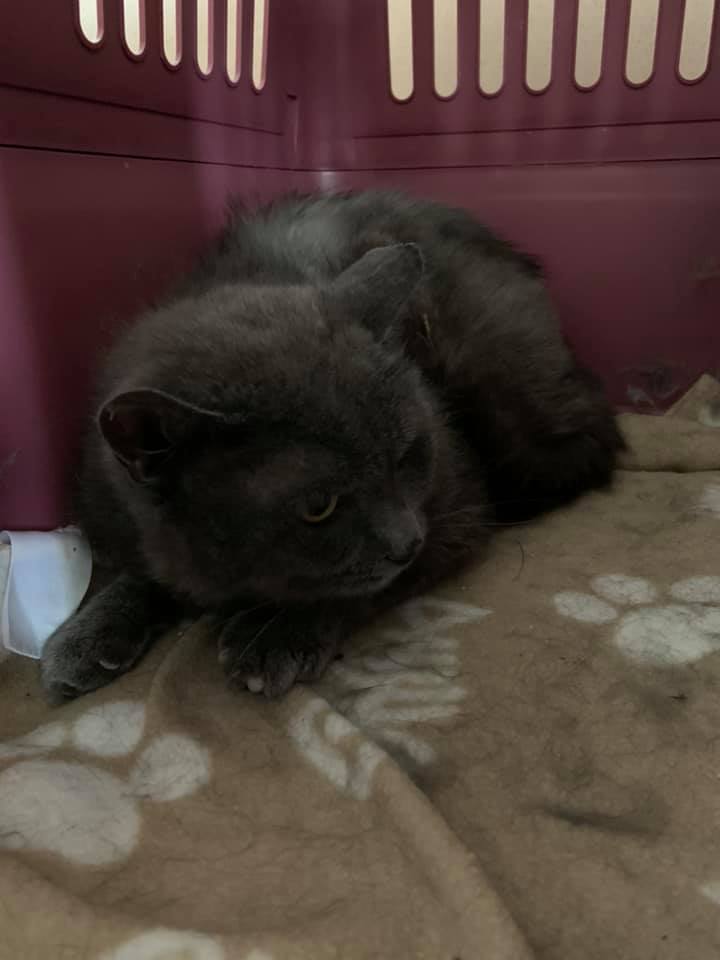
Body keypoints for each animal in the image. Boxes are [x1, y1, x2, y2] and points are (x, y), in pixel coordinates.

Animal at [40, 190, 623, 701]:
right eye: (317, 507)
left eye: (409, 455)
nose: (406, 542)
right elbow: (148, 570)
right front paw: (91, 631)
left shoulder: (457, 510)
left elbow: (362, 584)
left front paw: (278, 633)